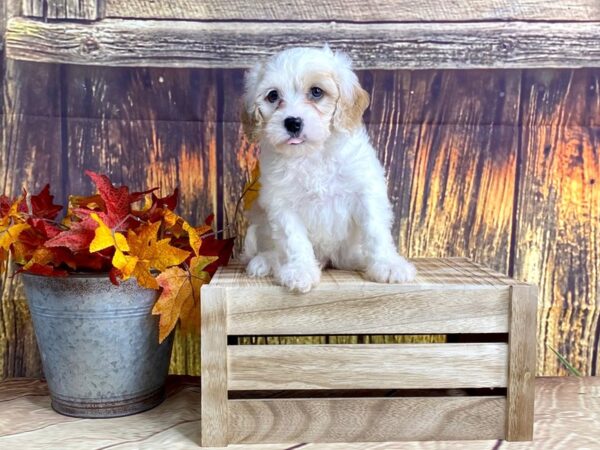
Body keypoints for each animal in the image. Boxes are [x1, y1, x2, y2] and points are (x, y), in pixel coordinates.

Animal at [241, 45, 414, 292]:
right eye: (273, 96)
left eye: (316, 92)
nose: (292, 122)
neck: (312, 154)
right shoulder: (282, 203)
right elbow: (294, 240)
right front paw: (300, 270)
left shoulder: (365, 191)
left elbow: (375, 231)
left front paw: (388, 264)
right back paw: (266, 261)